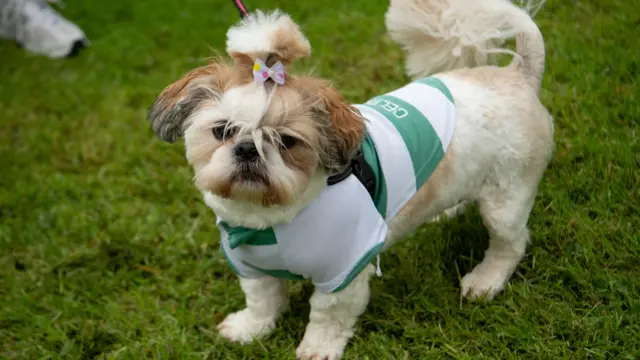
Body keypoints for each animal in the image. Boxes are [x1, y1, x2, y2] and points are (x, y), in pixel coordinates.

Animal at [148, 0, 552, 358]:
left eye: (287, 141)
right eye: (223, 130)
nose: (248, 149)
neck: (270, 220)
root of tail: (518, 73)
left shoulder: (344, 271)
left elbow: (328, 315)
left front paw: (317, 349)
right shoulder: (254, 267)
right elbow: (262, 300)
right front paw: (250, 329)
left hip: (506, 198)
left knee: (510, 243)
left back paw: (485, 280)